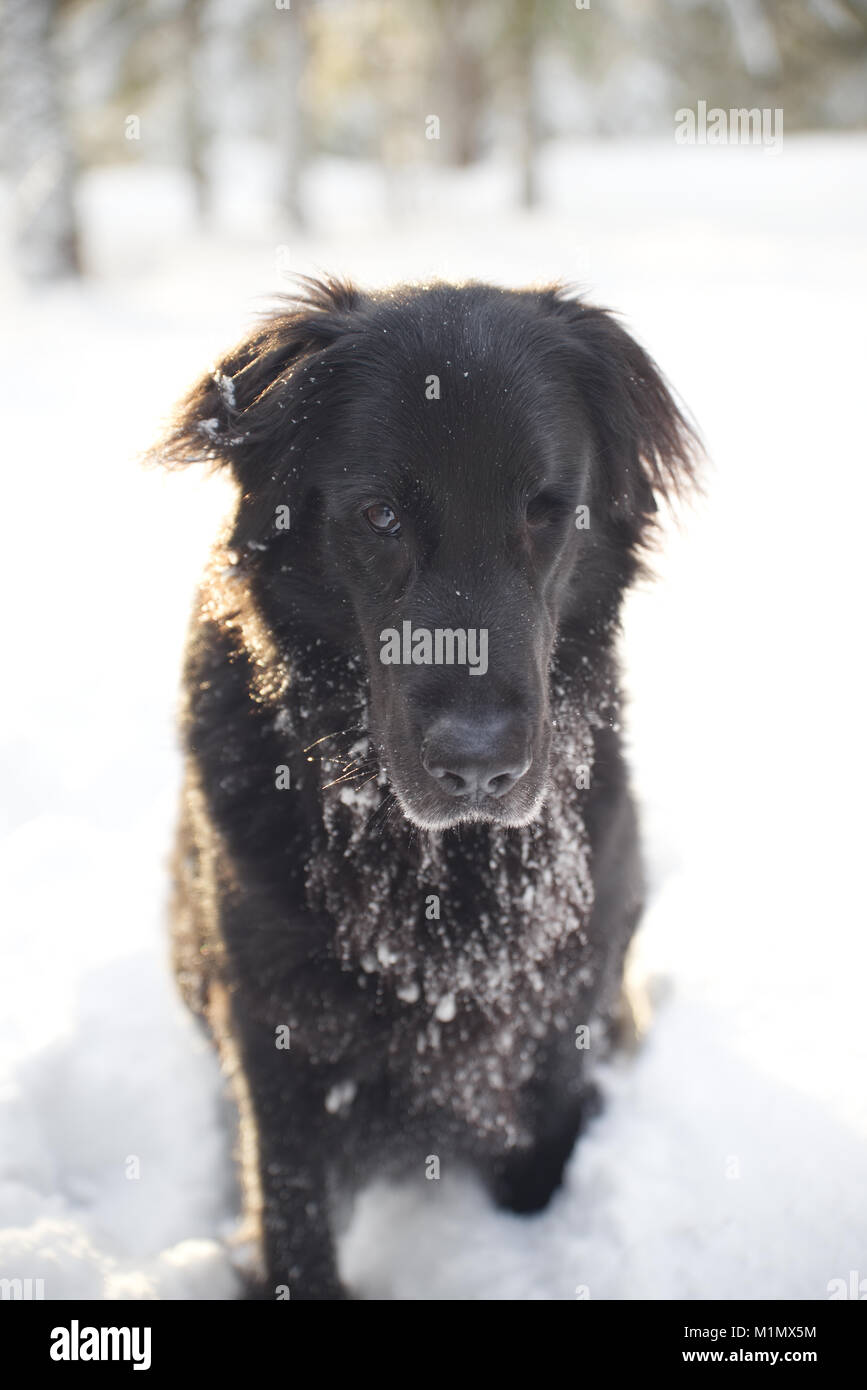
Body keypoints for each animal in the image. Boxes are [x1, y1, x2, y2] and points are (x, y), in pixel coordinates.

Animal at [155, 276, 697, 1295]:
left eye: (544, 509)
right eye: (380, 516)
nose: (479, 763)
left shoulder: (558, 1010)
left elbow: (541, 1165)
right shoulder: (271, 1024)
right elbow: (290, 1215)